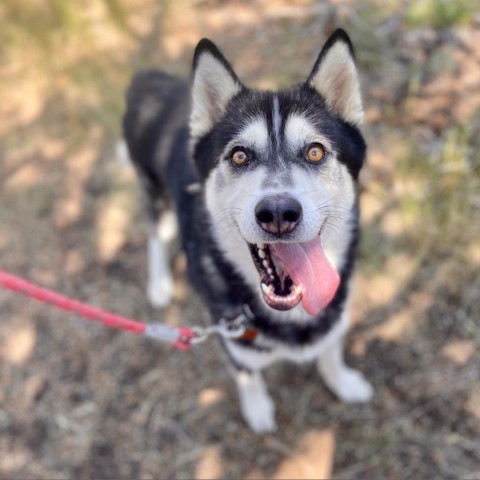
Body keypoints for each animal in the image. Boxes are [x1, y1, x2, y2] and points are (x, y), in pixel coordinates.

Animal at [122, 31, 374, 436]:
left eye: (315, 152)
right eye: (240, 156)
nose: (278, 213)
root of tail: (149, 79)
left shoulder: (335, 313)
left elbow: (331, 348)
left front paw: (343, 382)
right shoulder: (231, 336)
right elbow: (248, 375)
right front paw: (257, 409)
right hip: (156, 196)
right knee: (156, 235)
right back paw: (159, 283)